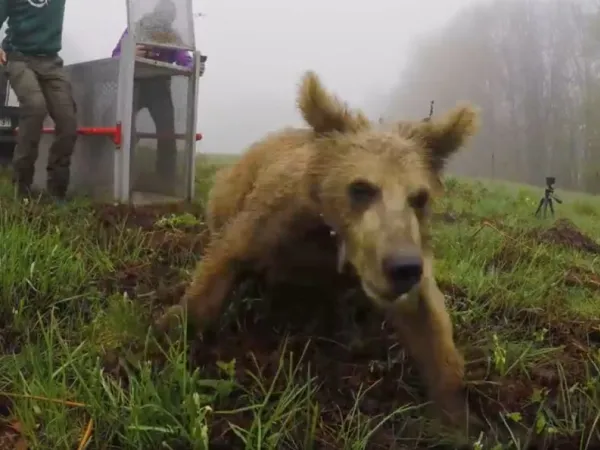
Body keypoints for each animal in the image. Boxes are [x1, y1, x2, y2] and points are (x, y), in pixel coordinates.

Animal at [157, 71, 480, 432]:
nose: (402, 267)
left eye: (419, 197)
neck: (331, 240)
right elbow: (221, 266)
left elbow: (430, 323)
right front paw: (168, 331)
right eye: (361, 187)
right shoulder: (270, 224)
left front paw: (458, 418)